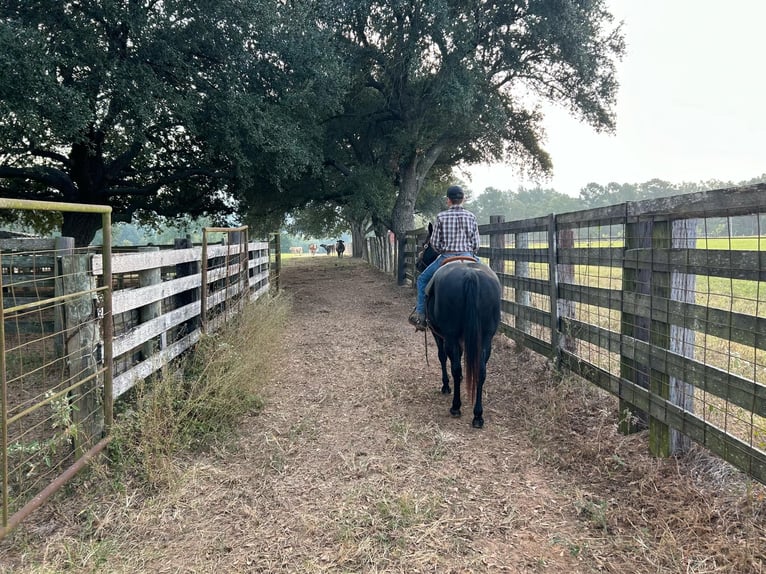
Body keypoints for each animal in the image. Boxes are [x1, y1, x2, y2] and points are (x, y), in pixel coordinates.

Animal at [420, 225, 504, 428]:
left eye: (425, 244)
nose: (418, 263)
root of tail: (470, 274)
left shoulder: (439, 334)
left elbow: (442, 357)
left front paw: (445, 386)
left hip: (450, 336)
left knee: (456, 367)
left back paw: (456, 406)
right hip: (486, 338)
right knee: (481, 371)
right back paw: (478, 415)